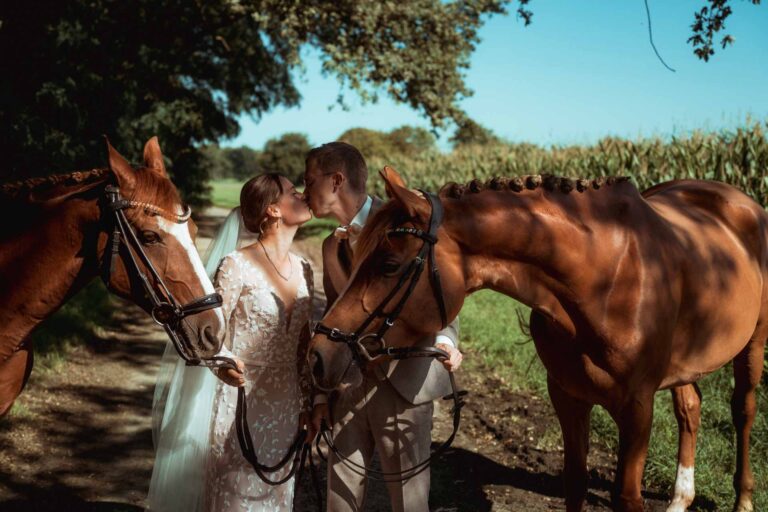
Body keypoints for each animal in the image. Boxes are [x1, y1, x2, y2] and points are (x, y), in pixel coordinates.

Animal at [310, 168, 768, 512]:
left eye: (389, 265)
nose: (318, 354)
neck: (603, 277)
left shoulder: (637, 407)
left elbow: (626, 497)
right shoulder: (566, 395)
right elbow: (575, 482)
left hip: (752, 345)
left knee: (742, 410)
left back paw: (743, 498)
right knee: (690, 408)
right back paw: (679, 499)